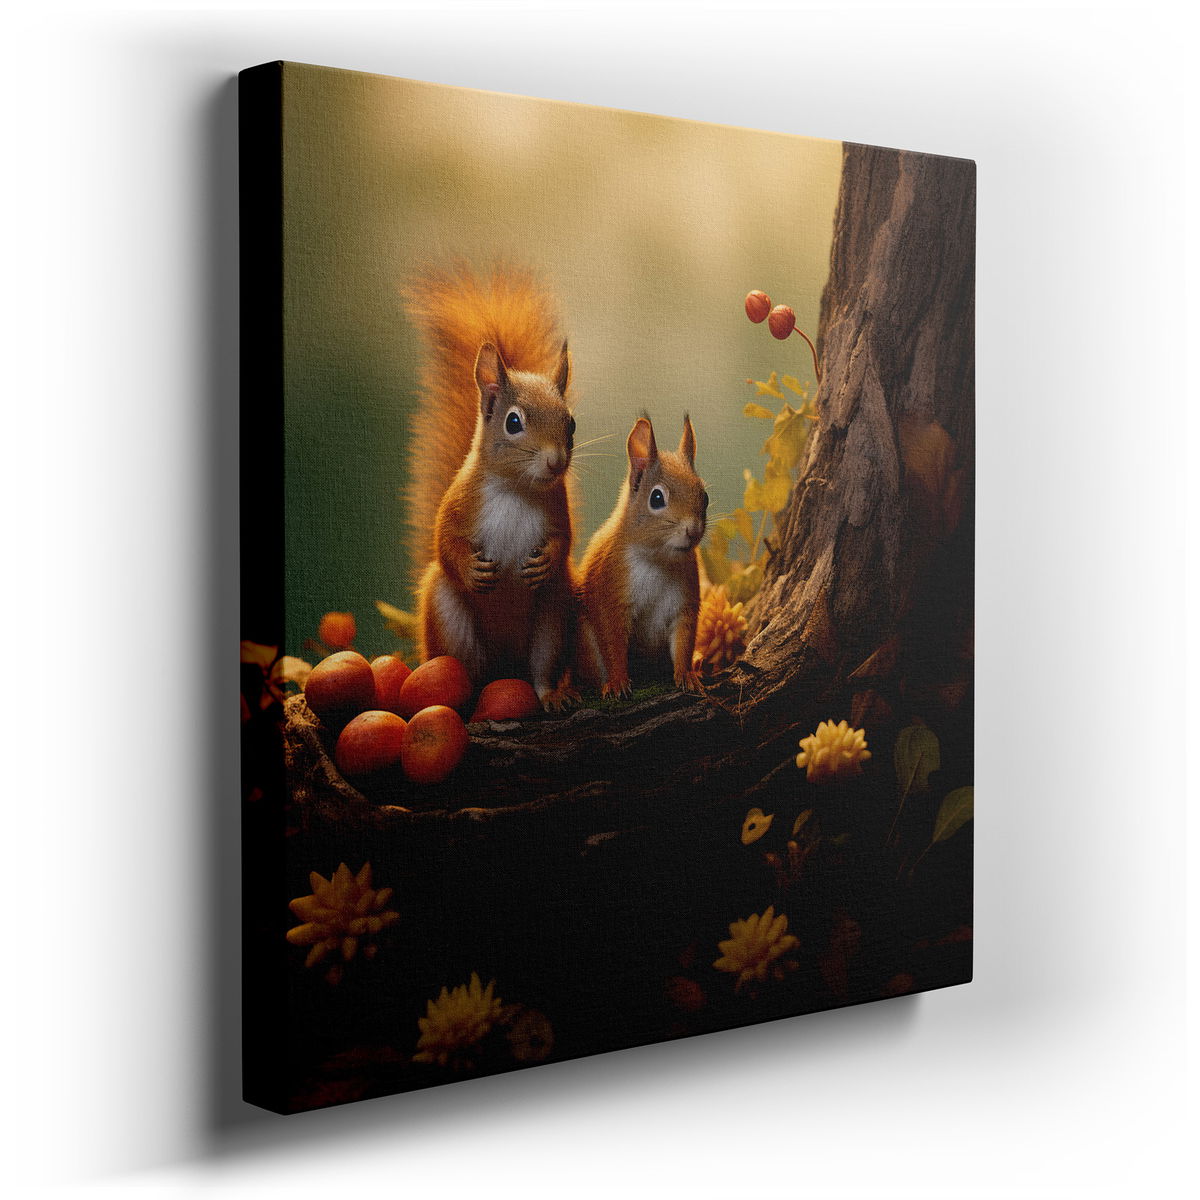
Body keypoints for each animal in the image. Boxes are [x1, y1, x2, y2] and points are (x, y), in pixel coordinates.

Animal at [403, 266, 579, 709]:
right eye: (513, 422)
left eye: (571, 423)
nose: (556, 462)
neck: (516, 489)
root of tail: (506, 666)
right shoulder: (457, 502)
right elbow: (444, 541)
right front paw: (470, 568)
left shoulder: (558, 508)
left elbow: (564, 540)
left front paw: (546, 560)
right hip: (450, 621)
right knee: (468, 671)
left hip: (553, 615)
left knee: (541, 669)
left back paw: (550, 694)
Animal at [576, 414, 708, 697]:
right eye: (656, 498)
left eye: (704, 496)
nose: (692, 530)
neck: (657, 561)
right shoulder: (611, 598)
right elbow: (613, 646)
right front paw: (617, 682)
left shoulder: (684, 605)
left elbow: (683, 642)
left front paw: (686, 674)